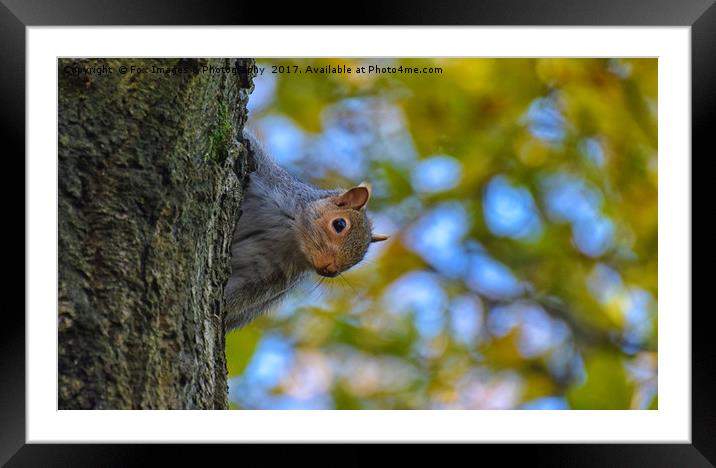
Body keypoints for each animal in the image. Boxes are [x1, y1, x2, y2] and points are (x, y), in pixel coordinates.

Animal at [225, 130, 388, 330]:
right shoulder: (267, 177)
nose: (330, 270)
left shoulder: (273, 275)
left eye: (359, 259)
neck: (292, 234)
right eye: (339, 224)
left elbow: (244, 295)